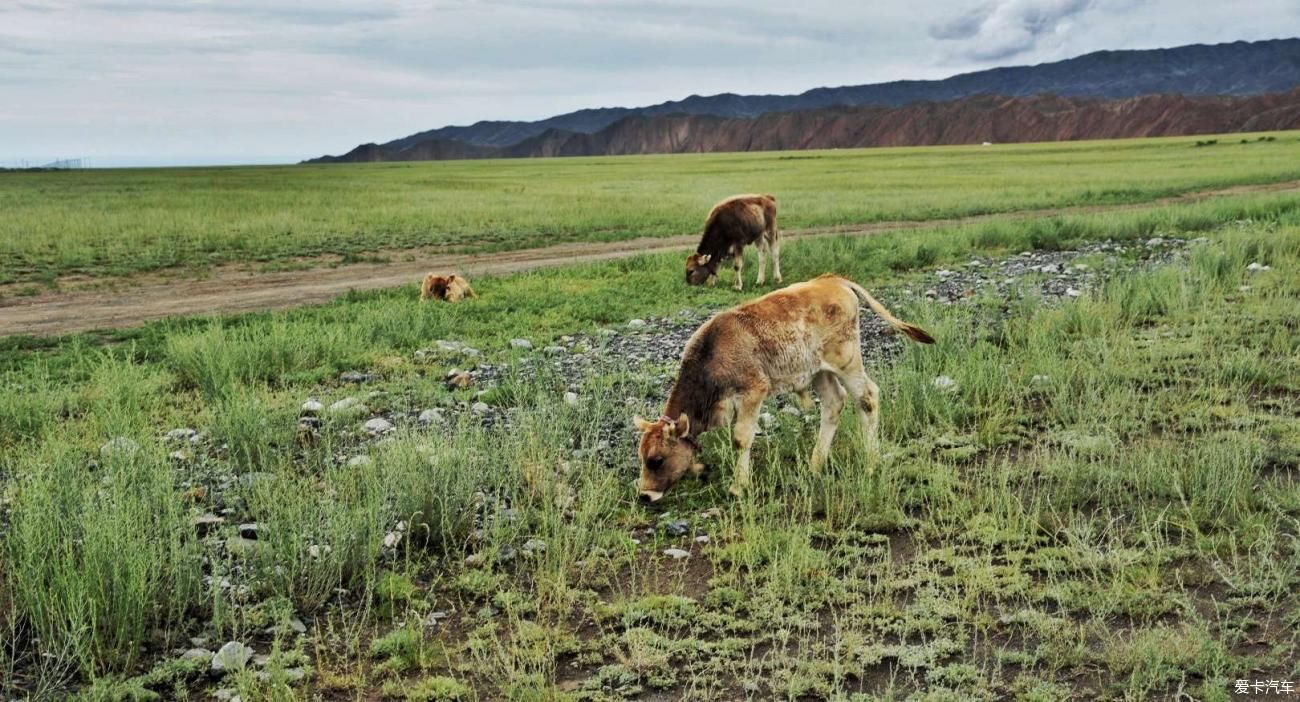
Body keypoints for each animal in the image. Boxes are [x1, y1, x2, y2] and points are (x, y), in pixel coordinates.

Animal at [631, 271, 930, 501]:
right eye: (642, 456)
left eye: (657, 460)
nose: (644, 495)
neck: (712, 353)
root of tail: (832, 279)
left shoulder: (753, 391)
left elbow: (740, 439)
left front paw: (738, 486)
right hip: (819, 371)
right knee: (834, 404)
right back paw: (815, 463)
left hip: (847, 361)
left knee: (867, 397)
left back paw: (871, 463)